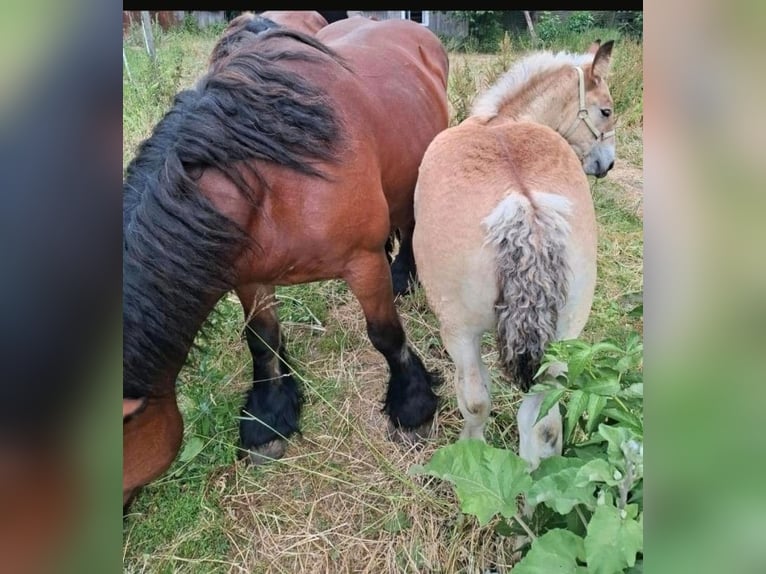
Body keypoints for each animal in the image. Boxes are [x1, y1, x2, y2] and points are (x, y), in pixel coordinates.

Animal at [123, 17, 449, 508]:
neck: (275, 177)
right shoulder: (249, 276)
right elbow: (262, 340)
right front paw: (269, 418)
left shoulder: (363, 262)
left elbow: (386, 336)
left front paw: (413, 408)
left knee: (409, 223)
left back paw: (404, 276)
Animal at [412, 40, 616, 471]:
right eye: (605, 110)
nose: (608, 164)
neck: (501, 121)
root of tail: (527, 212)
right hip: (563, 339)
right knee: (543, 424)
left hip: (460, 332)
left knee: (476, 402)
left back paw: (468, 458)